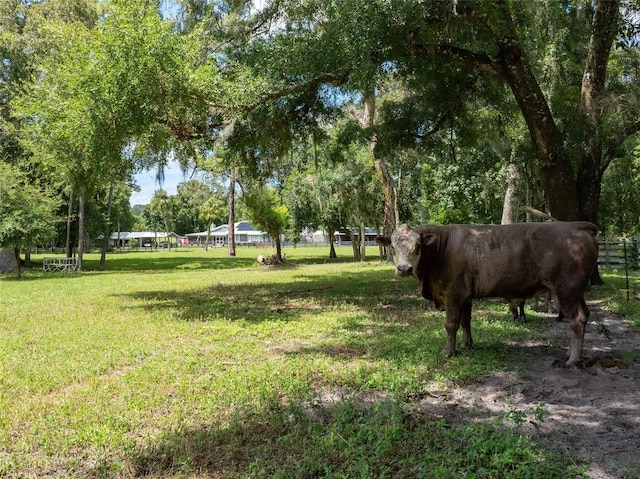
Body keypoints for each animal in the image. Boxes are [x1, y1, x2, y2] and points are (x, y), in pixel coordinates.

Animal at [376, 222, 600, 368]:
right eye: (393, 247)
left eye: (418, 246)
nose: (404, 268)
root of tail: (576, 226)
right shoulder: (465, 296)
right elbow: (466, 322)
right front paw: (466, 344)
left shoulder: (453, 294)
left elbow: (451, 325)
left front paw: (448, 351)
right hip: (575, 292)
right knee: (584, 316)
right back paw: (571, 352)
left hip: (567, 289)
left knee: (576, 320)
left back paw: (573, 359)